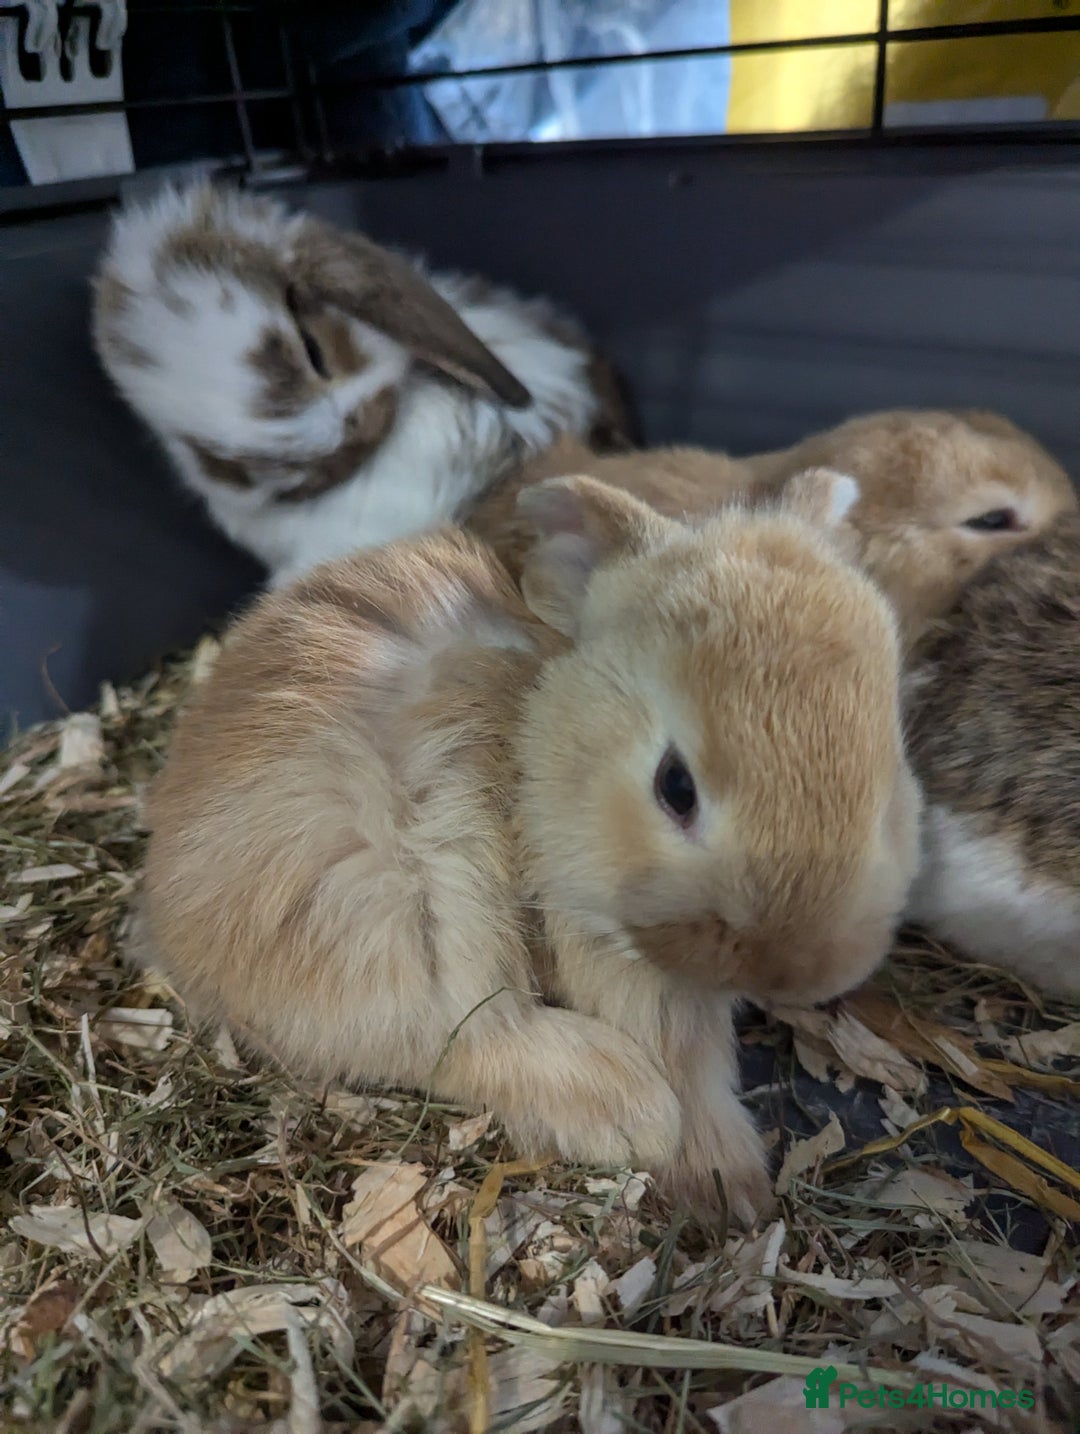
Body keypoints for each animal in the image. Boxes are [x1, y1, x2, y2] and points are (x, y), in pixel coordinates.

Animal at [138, 465, 920, 1225]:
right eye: (675, 786)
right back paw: (629, 1107)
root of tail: (165, 922)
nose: (803, 971)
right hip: (394, 920)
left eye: (891, 762)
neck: (534, 754)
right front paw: (723, 1186)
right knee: (468, 1040)